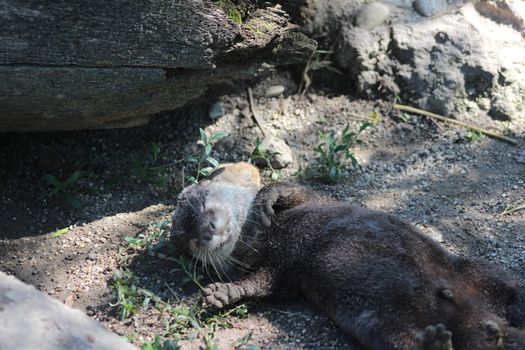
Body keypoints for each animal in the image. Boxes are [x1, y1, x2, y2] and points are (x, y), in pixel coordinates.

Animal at [172, 182, 524, 348]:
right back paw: (436, 341)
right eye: (188, 241)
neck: (264, 236)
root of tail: (486, 325)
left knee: (505, 282)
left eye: (201, 208)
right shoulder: (279, 272)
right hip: (380, 324)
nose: (203, 232)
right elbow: (258, 285)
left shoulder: (314, 199)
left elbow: (288, 188)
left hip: (471, 270)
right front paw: (221, 294)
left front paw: (267, 201)